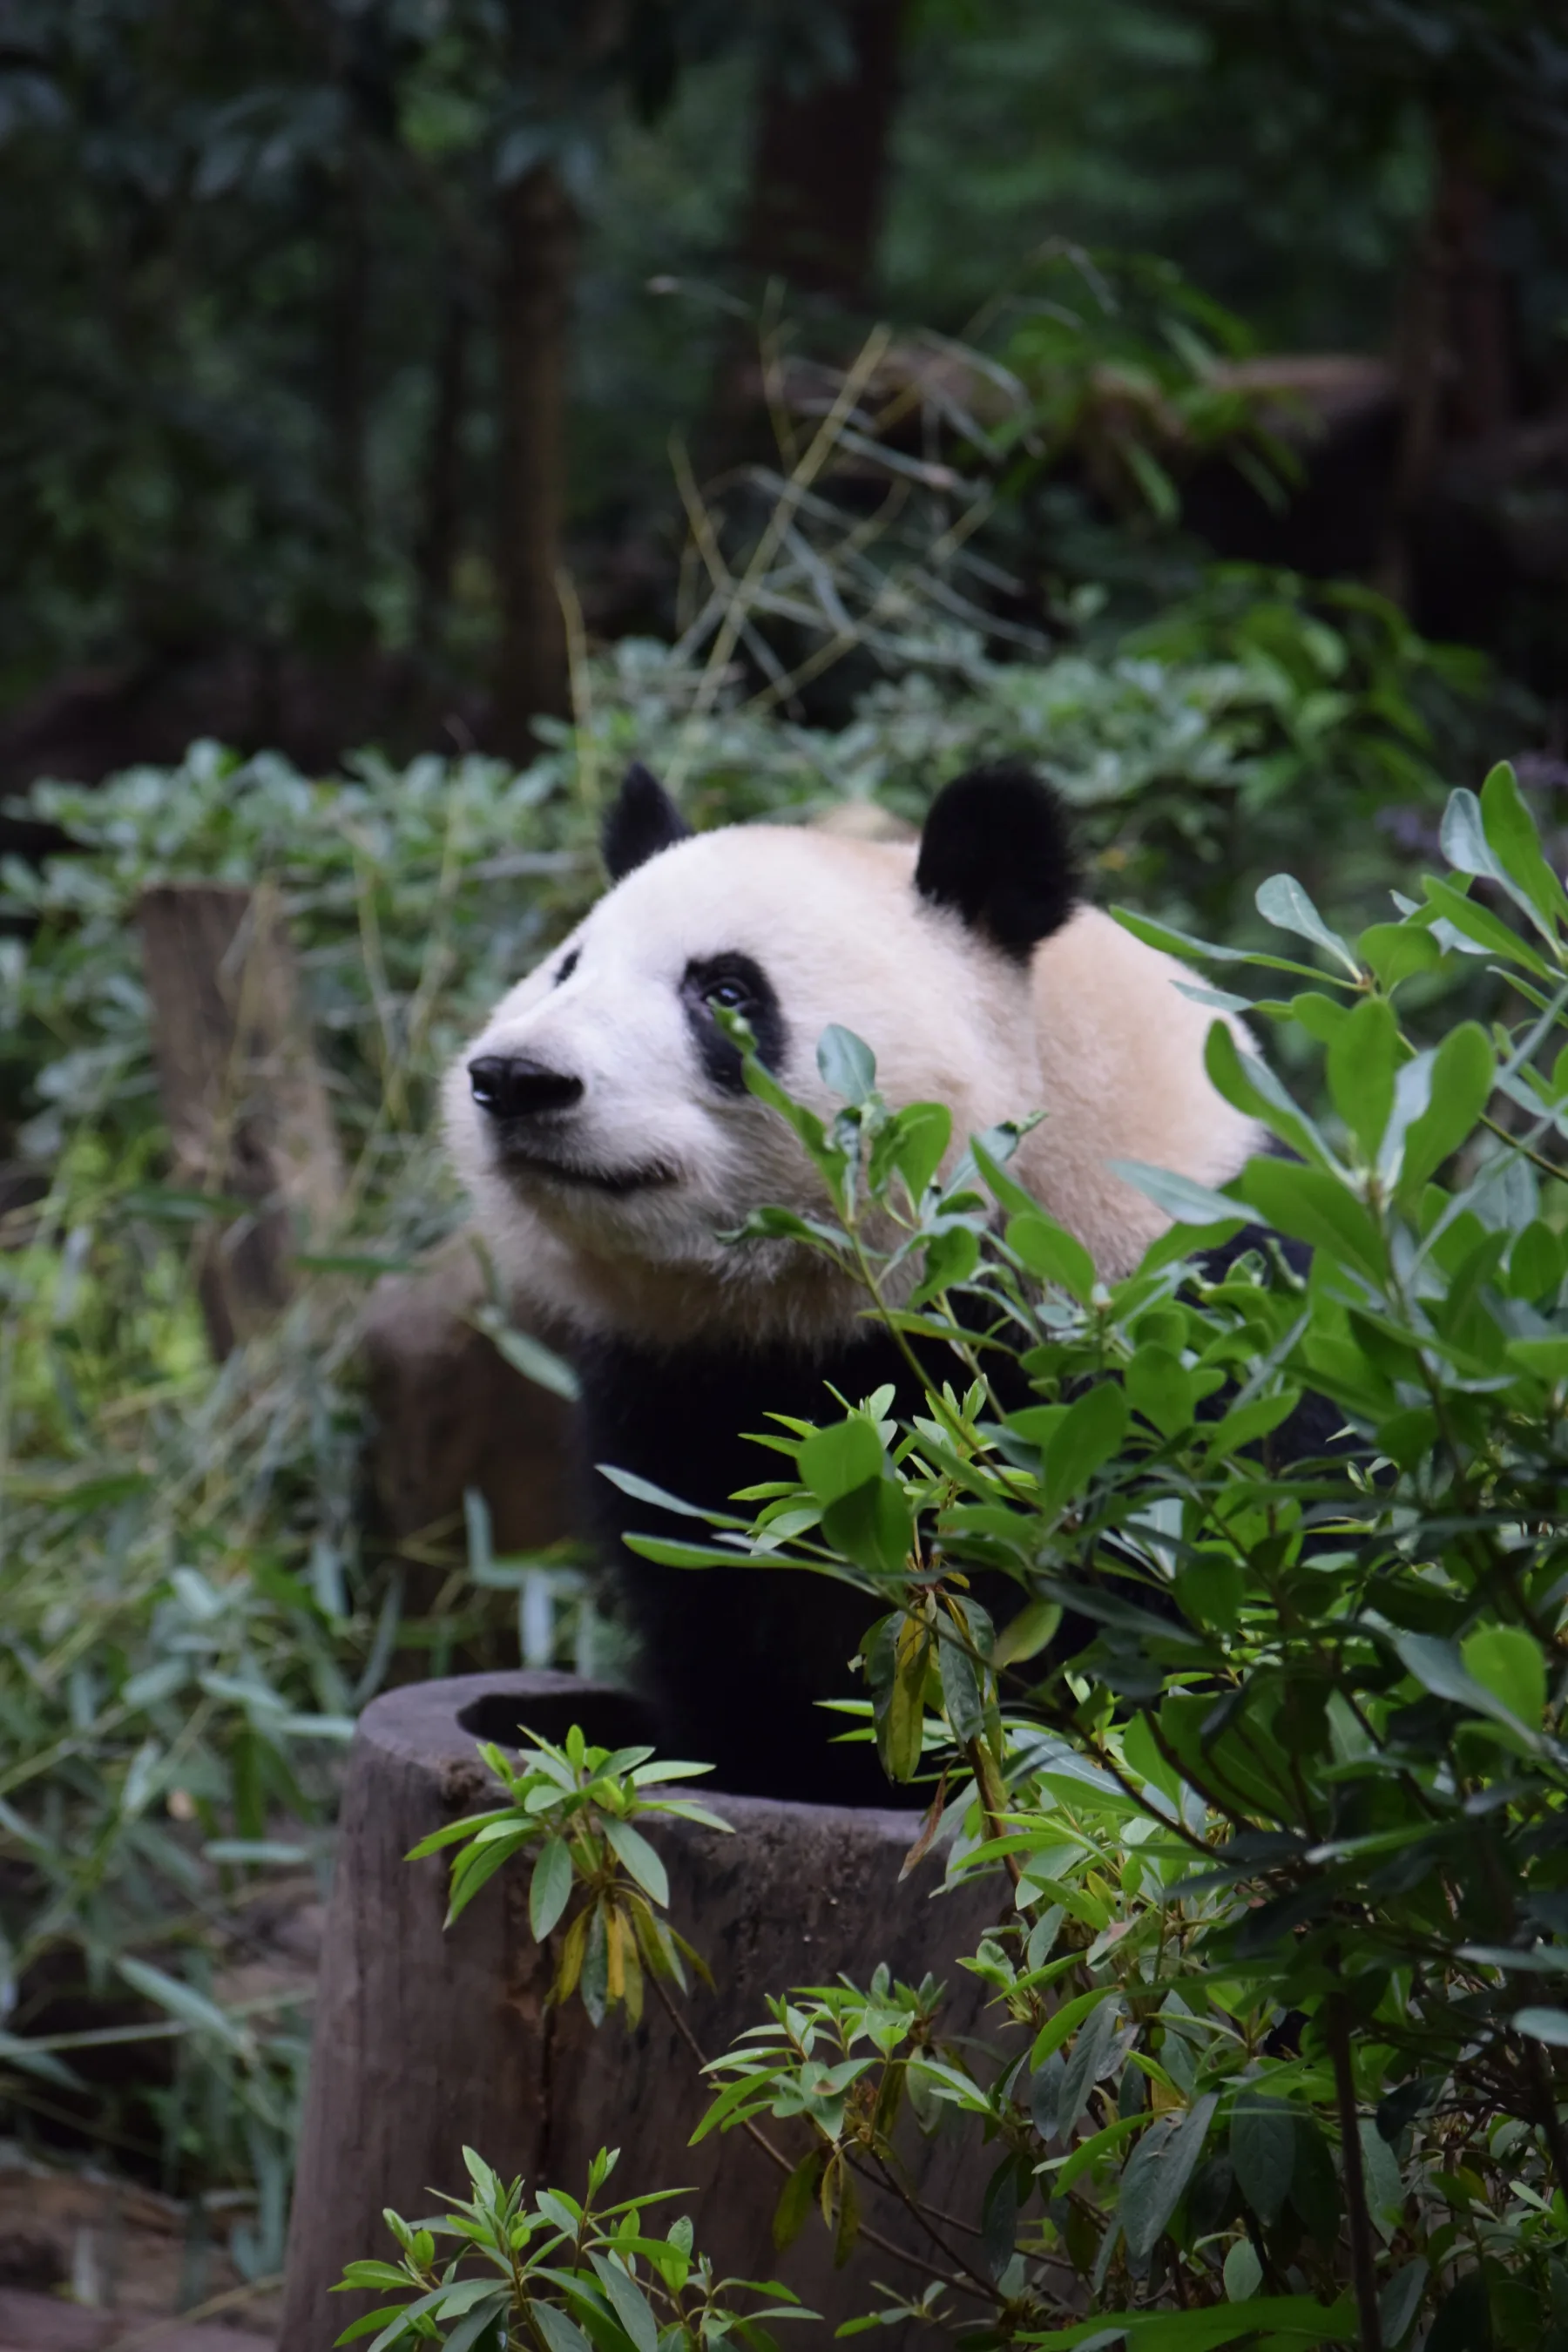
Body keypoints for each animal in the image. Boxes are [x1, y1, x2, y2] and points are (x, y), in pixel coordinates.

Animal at [444, 760, 1270, 1803]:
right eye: (569, 969)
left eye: (725, 991)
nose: (519, 1078)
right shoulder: (686, 1389)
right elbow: (719, 1605)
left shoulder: (1160, 1331)